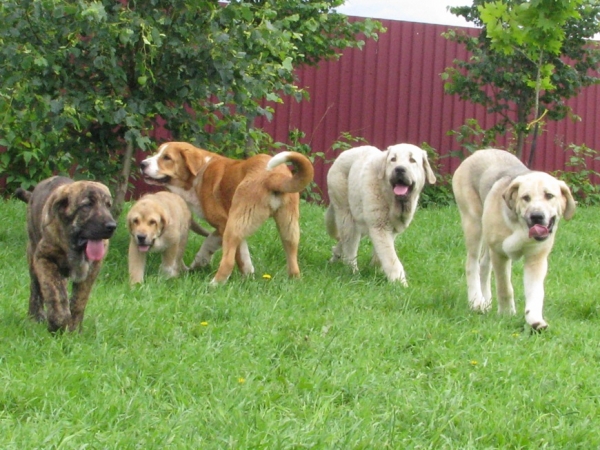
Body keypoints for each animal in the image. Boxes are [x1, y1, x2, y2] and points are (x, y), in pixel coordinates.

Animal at [15, 178, 116, 332]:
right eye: (87, 205)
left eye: (108, 206)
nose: (112, 226)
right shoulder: (45, 258)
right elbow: (55, 294)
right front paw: (58, 324)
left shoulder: (92, 270)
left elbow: (79, 301)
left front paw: (73, 329)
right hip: (32, 253)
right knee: (36, 288)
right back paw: (35, 316)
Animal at [138, 142, 312, 284]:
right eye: (157, 153)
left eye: (167, 158)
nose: (142, 164)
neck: (199, 173)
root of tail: (273, 176)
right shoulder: (227, 225)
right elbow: (228, 246)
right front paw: (248, 274)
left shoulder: (224, 222)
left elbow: (234, 253)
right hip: (288, 225)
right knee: (292, 258)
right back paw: (294, 281)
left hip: (236, 224)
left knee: (228, 262)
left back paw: (214, 285)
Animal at [328, 144, 436, 284]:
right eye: (393, 159)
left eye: (412, 160)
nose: (399, 169)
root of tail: (342, 155)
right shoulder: (380, 227)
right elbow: (391, 258)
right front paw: (399, 283)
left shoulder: (390, 229)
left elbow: (381, 254)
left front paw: (375, 269)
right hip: (346, 216)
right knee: (350, 246)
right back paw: (352, 271)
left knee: (344, 241)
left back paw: (335, 257)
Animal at [454, 149, 576, 328]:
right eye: (525, 197)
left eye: (549, 195)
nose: (536, 216)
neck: (521, 226)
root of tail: (480, 152)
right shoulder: (500, 254)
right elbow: (505, 287)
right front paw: (506, 314)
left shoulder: (536, 259)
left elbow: (536, 292)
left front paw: (535, 320)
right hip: (473, 224)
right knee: (472, 264)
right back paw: (476, 301)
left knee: (484, 265)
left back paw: (487, 301)